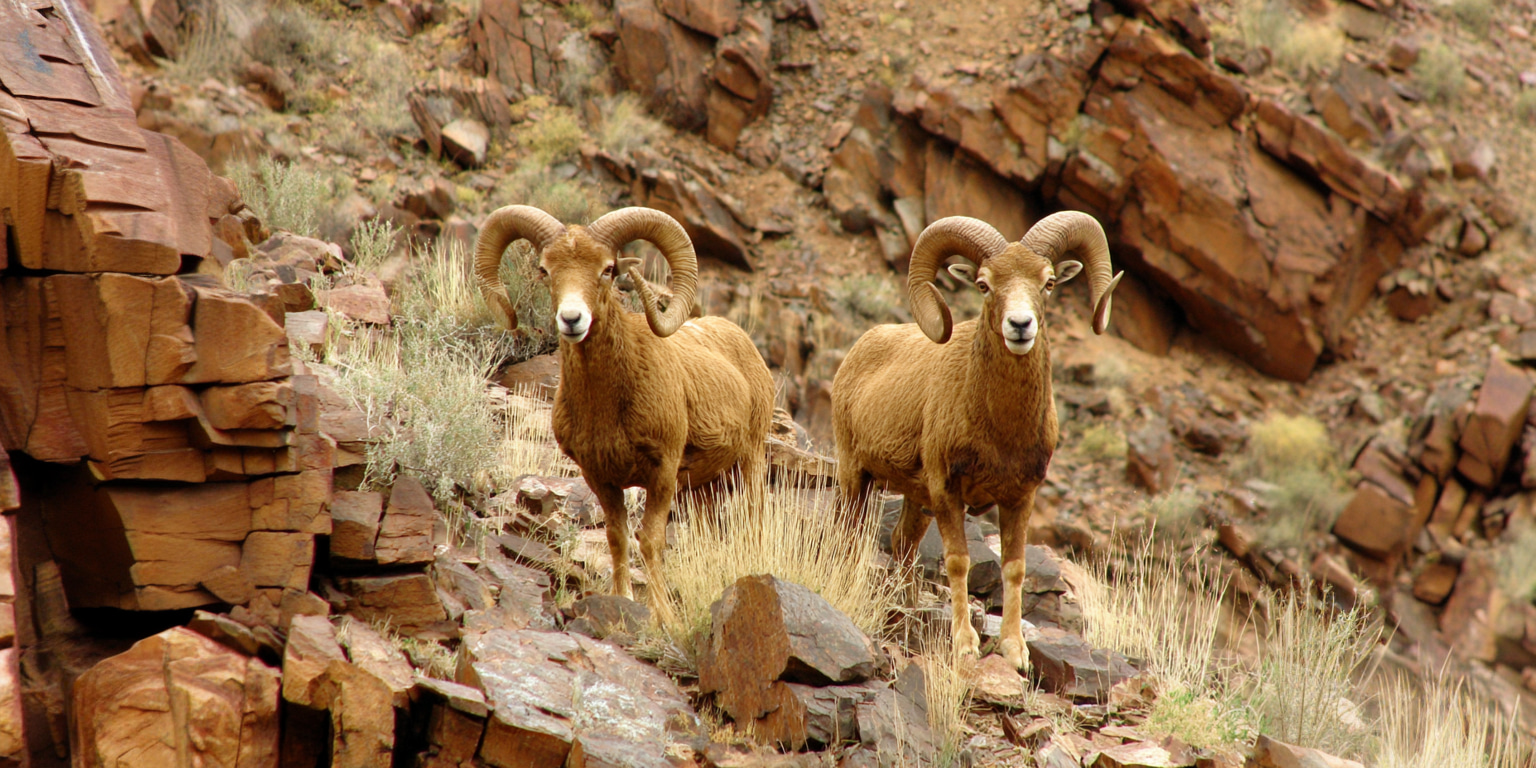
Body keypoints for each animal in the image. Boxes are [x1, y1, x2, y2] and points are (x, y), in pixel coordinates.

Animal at [474, 205, 775, 601]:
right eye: (545, 269)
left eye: (607, 269)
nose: (572, 319)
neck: (607, 405)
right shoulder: (601, 479)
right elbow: (617, 539)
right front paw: (624, 599)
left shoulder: (663, 472)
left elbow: (650, 542)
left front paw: (660, 611)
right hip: (704, 489)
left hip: (751, 458)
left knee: (753, 521)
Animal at [832, 211, 1122, 669]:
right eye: (984, 284)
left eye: (1048, 282)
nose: (1020, 326)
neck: (999, 432)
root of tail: (858, 351)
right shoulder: (948, 492)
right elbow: (958, 561)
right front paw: (965, 644)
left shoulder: (1019, 499)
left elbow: (1014, 568)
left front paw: (1016, 651)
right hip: (855, 476)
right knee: (849, 533)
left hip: (916, 501)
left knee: (902, 544)